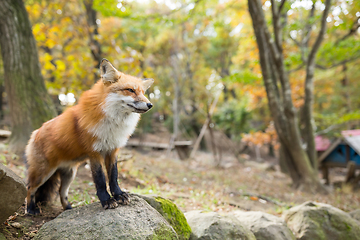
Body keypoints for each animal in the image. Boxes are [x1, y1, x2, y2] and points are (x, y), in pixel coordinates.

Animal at [25, 59, 155, 215]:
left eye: (142, 92)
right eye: (130, 90)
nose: (150, 104)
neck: (112, 122)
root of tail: (35, 132)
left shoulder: (112, 150)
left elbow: (113, 176)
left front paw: (119, 195)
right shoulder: (94, 152)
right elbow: (100, 179)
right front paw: (106, 200)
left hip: (70, 174)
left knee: (62, 193)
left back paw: (68, 209)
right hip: (43, 172)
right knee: (30, 188)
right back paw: (31, 209)